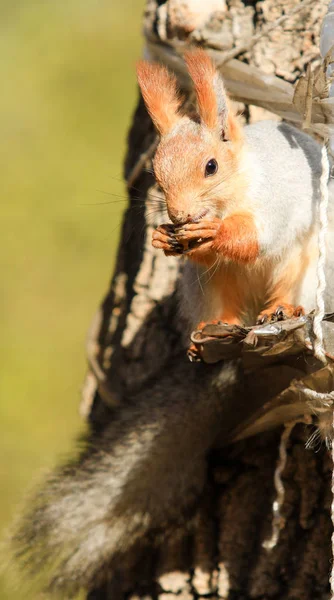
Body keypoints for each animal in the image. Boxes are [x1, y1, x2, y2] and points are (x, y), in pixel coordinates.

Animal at [136, 50, 334, 332]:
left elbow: (256, 237)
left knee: (291, 289)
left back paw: (281, 309)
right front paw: (162, 236)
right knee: (227, 302)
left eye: (211, 166)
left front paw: (214, 230)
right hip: (213, 284)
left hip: (310, 267)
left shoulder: (275, 199)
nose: (179, 215)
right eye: (155, 174)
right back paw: (217, 324)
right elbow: (209, 255)